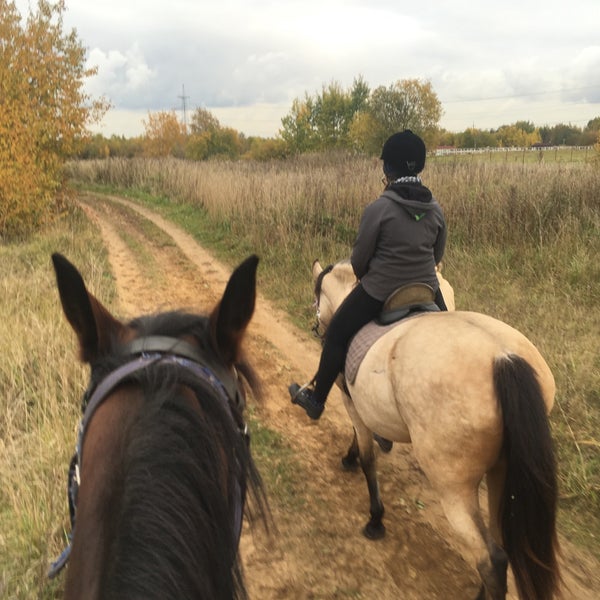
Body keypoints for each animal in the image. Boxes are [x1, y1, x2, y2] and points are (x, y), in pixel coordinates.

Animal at [312, 260, 560, 600]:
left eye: (316, 297)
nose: (318, 328)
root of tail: (504, 358)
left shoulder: (351, 402)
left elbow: (367, 458)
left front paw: (375, 517)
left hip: (453, 485)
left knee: (491, 559)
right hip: (502, 471)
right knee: (501, 544)